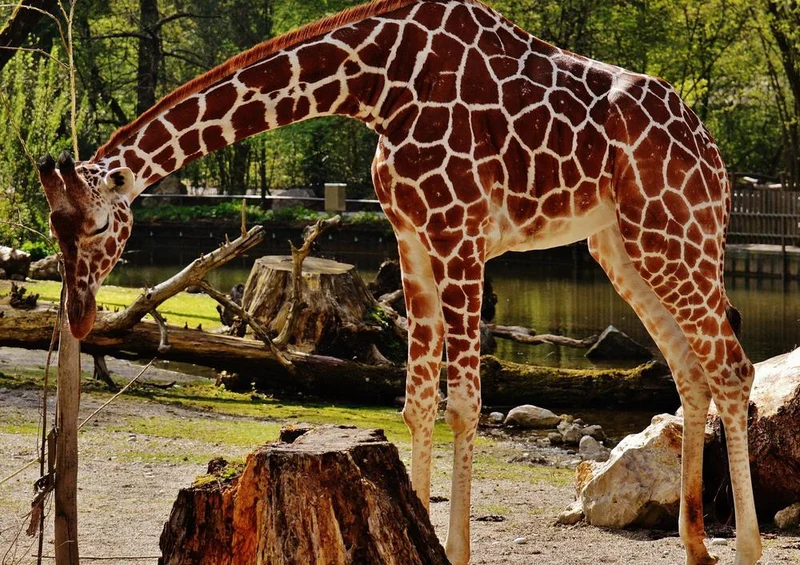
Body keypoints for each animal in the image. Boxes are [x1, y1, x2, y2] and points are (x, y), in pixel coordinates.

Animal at [38, 1, 760, 563]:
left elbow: (464, 401)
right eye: (53, 226)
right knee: (690, 370)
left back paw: (747, 546)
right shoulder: (410, 237)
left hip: (678, 231)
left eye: (98, 225)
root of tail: (718, 159)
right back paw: (695, 543)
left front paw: (457, 549)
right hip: (621, 244)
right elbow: (415, 401)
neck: (378, 85)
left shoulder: (460, 233)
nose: (78, 315)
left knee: (731, 367)